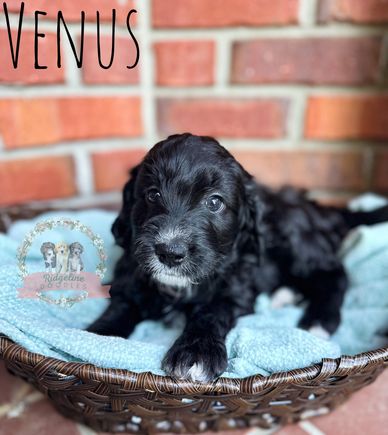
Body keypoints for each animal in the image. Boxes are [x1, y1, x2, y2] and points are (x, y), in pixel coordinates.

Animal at [87, 133, 388, 382]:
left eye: (214, 202)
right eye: (152, 194)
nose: (169, 253)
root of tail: (320, 209)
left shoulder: (235, 286)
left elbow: (211, 311)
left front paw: (196, 352)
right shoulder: (130, 276)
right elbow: (121, 306)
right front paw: (97, 336)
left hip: (295, 237)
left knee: (333, 272)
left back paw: (319, 321)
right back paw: (285, 295)